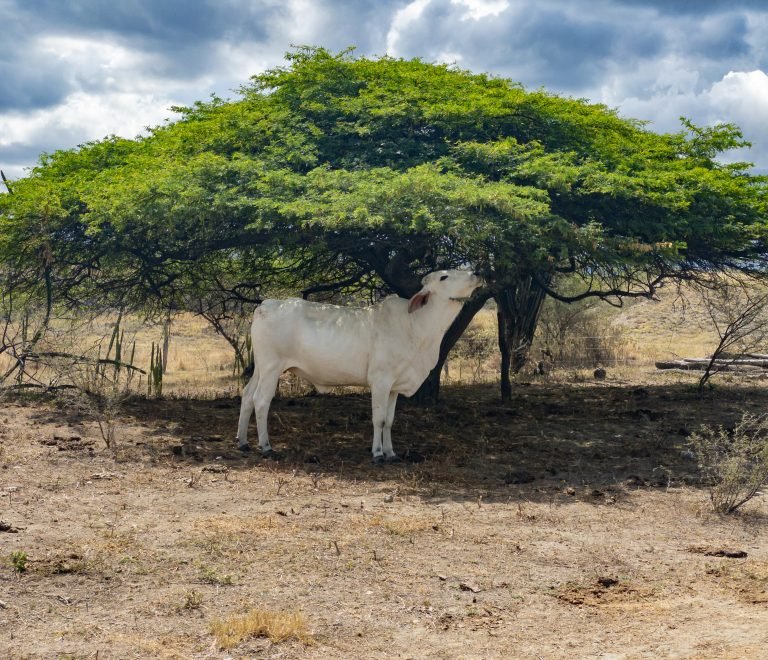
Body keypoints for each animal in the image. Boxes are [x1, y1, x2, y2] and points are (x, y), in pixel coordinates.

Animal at [237, 270, 484, 462]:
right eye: (444, 276)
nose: (477, 274)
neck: (415, 325)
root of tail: (267, 304)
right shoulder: (380, 380)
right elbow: (379, 419)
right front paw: (378, 454)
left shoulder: (394, 386)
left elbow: (389, 421)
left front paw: (391, 453)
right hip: (272, 367)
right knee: (261, 401)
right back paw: (266, 447)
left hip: (261, 368)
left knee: (247, 395)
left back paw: (242, 442)